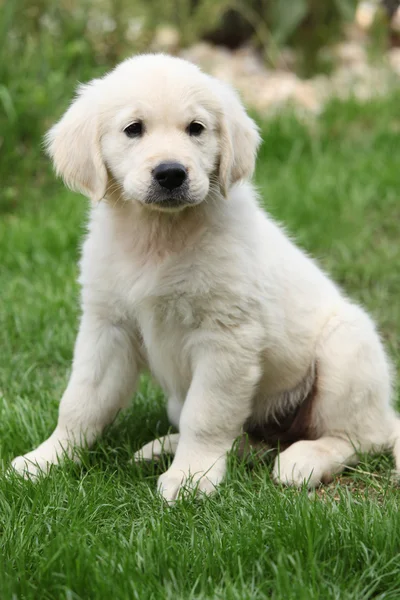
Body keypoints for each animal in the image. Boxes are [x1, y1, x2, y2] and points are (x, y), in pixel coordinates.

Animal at [10, 54, 398, 502]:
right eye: (133, 129)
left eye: (196, 128)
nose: (171, 173)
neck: (158, 236)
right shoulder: (107, 327)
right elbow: (80, 402)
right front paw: (46, 459)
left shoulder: (225, 337)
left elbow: (207, 414)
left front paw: (191, 478)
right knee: (250, 442)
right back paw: (165, 447)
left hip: (346, 349)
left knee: (359, 436)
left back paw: (303, 460)